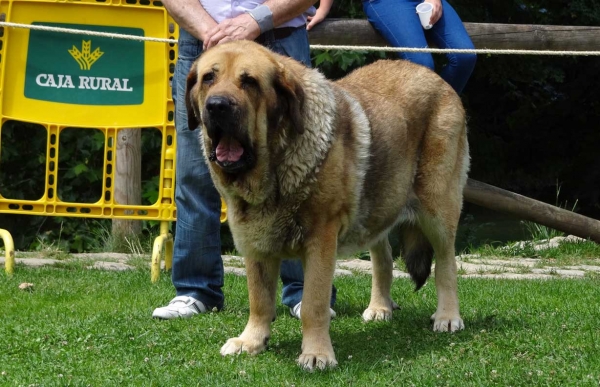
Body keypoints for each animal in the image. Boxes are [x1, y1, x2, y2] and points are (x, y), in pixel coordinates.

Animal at [185, 41, 472, 372]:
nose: (217, 106)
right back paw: (380, 307)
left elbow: (314, 303)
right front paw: (251, 341)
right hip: (375, 205)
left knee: (446, 263)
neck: (276, 165)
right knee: (383, 258)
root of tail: (434, 77)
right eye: (208, 78)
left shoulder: (321, 239)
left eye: (250, 82)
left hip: (437, 206)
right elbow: (259, 298)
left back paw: (448, 316)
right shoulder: (255, 241)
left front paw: (316, 354)